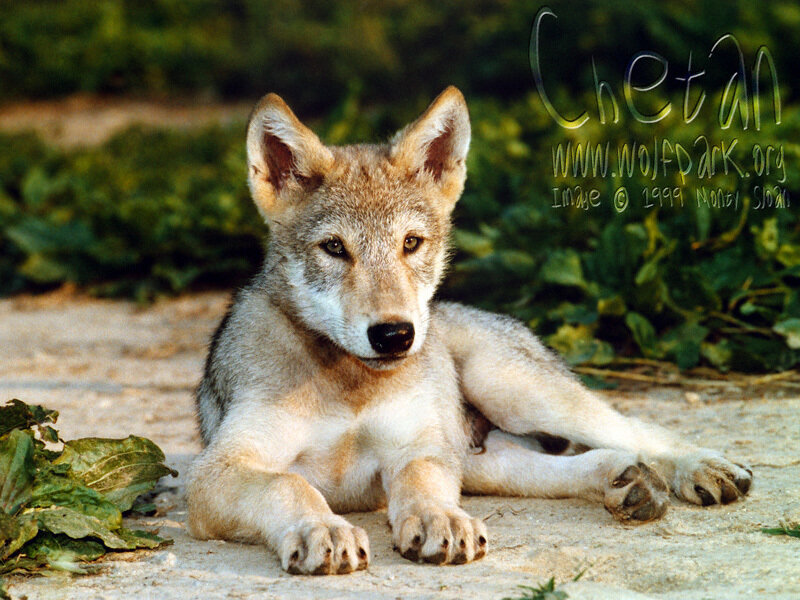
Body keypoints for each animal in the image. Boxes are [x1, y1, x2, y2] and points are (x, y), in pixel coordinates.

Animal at [186, 87, 753, 575]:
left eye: (411, 243)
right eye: (334, 249)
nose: (395, 335)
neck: (352, 386)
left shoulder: (420, 450)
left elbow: (419, 485)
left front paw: (439, 520)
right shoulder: (219, 469)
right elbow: (288, 485)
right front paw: (321, 529)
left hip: (509, 390)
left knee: (636, 428)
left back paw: (700, 468)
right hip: (481, 455)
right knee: (549, 461)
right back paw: (626, 482)